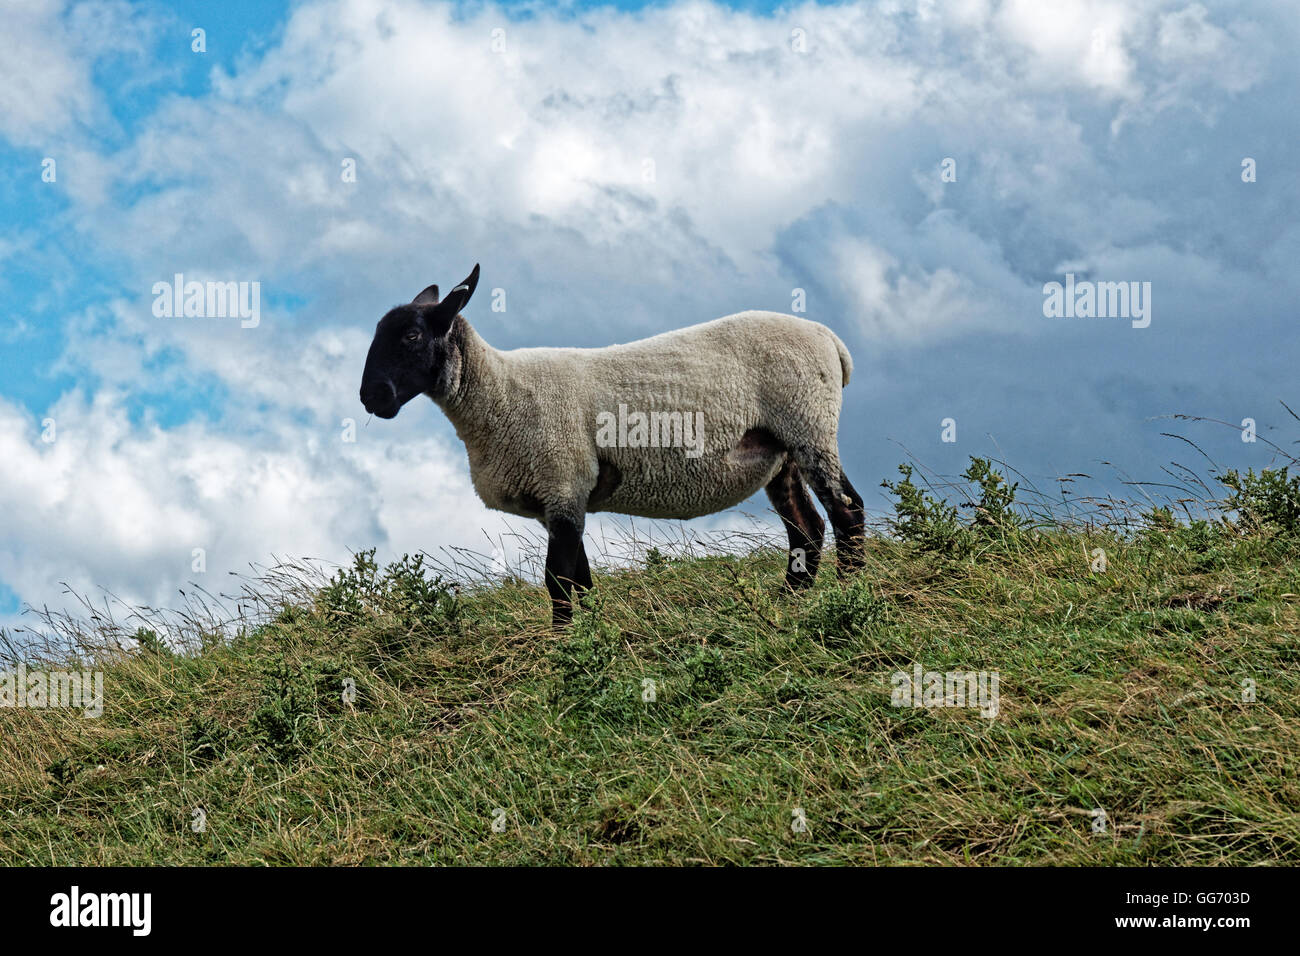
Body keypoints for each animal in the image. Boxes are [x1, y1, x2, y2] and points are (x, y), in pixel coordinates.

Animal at [358, 269, 863, 629]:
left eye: (411, 336)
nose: (371, 397)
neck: (500, 394)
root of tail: (830, 340)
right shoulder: (562, 498)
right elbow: (580, 580)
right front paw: (591, 631)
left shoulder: (563, 484)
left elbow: (559, 581)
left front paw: (564, 643)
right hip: (778, 452)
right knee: (807, 528)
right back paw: (790, 600)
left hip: (808, 424)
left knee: (846, 510)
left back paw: (848, 594)